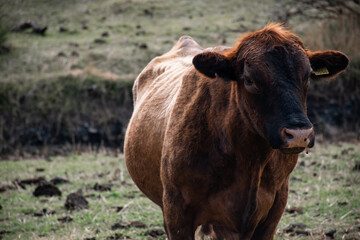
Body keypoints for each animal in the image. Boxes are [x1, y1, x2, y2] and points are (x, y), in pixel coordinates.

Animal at [124, 23, 348, 240]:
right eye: (249, 79)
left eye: (308, 75)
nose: (299, 134)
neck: (249, 159)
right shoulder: (176, 212)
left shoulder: (274, 207)